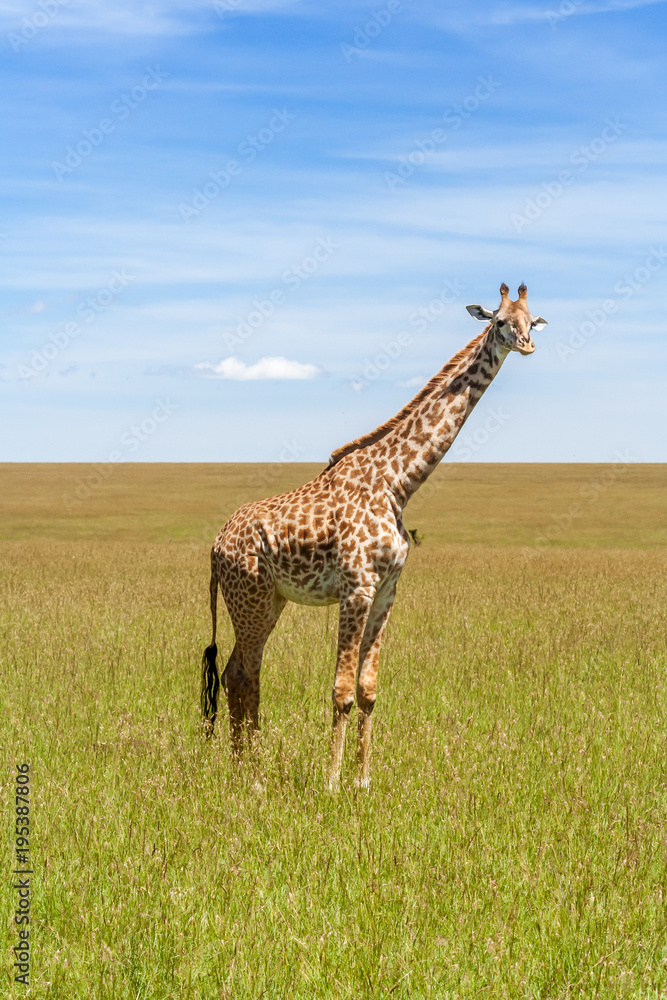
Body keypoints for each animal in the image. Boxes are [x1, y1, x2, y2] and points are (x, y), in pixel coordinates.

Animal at [201, 283, 547, 788]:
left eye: (532, 319)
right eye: (499, 320)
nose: (525, 344)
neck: (397, 482)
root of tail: (215, 546)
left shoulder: (387, 590)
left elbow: (368, 689)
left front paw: (363, 781)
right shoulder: (357, 588)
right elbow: (341, 690)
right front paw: (330, 782)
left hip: (269, 600)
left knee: (234, 673)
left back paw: (245, 769)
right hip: (249, 597)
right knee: (244, 675)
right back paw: (254, 776)